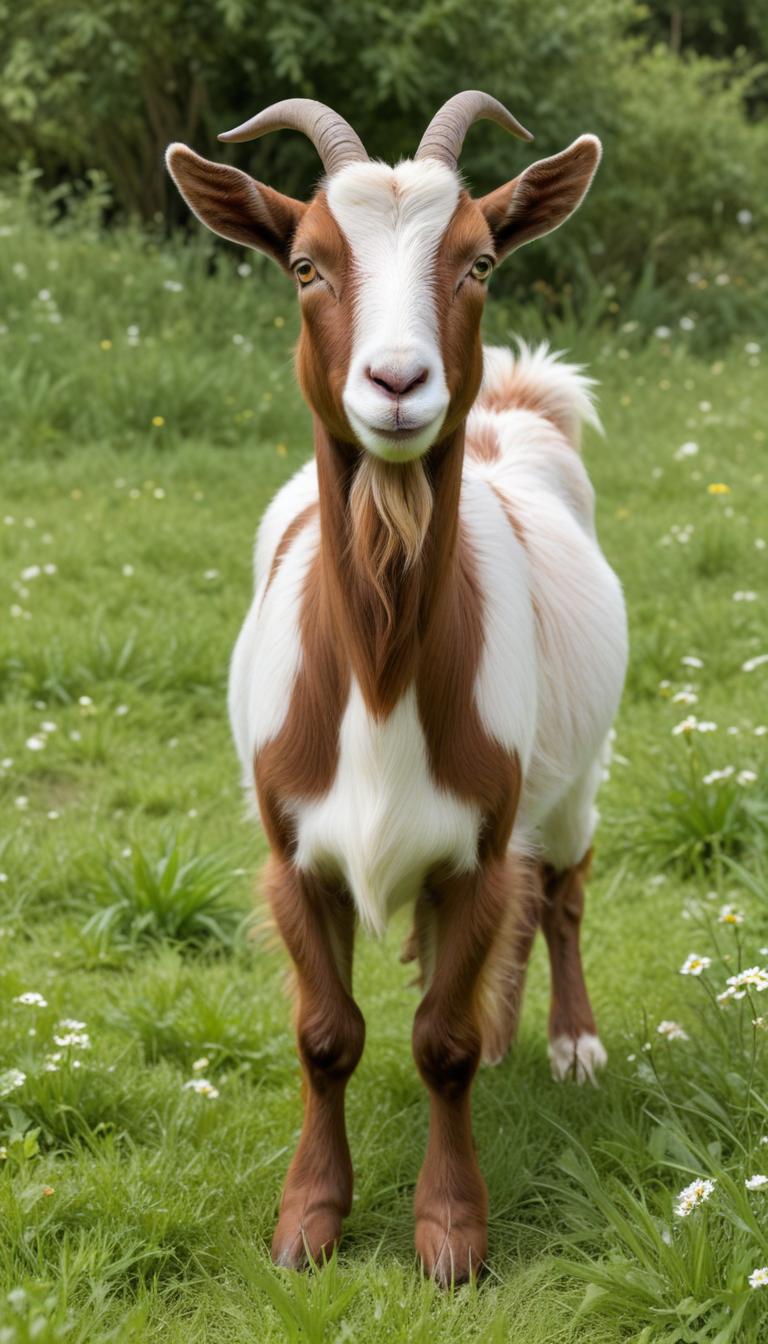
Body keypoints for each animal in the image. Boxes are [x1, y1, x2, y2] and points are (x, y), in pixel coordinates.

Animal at [167, 91, 628, 1284]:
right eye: (306, 264)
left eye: (477, 262)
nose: (397, 383)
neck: (377, 680)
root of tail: (521, 404)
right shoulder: (292, 849)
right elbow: (328, 1037)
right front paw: (308, 1221)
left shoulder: (475, 843)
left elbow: (442, 1042)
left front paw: (451, 1232)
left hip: (573, 779)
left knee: (559, 889)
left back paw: (567, 1040)